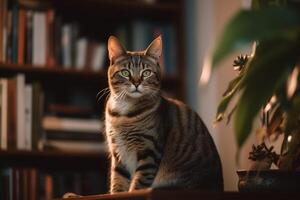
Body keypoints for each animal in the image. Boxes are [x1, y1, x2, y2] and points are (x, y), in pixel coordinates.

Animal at [105, 35, 223, 193]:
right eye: (125, 72)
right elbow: (118, 182)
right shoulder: (117, 152)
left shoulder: (150, 150)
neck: (124, 114)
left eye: (146, 73)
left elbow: (138, 184)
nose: (136, 83)